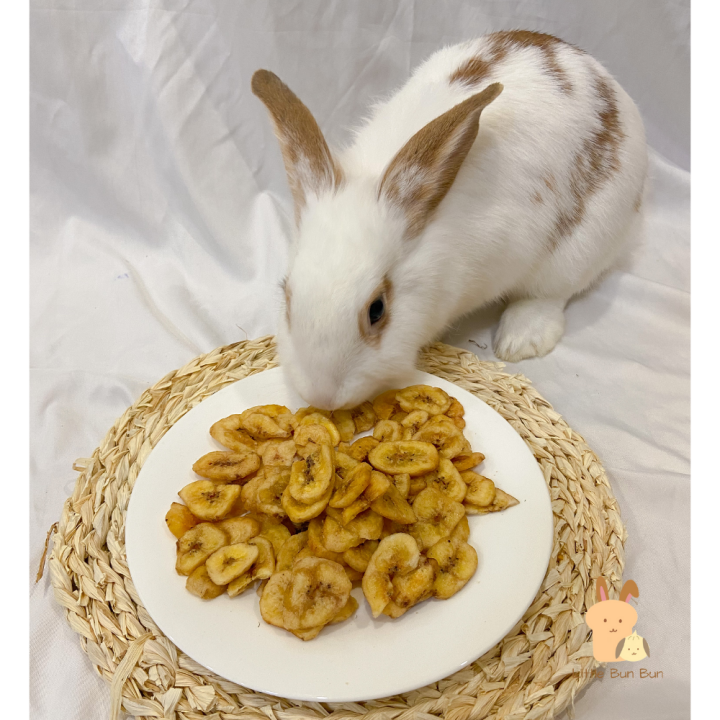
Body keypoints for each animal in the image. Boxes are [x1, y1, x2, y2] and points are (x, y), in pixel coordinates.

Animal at [252, 30, 647, 409]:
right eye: (286, 296)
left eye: (377, 309)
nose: (322, 396)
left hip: (580, 248)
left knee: (551, 293)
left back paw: (520, 340)